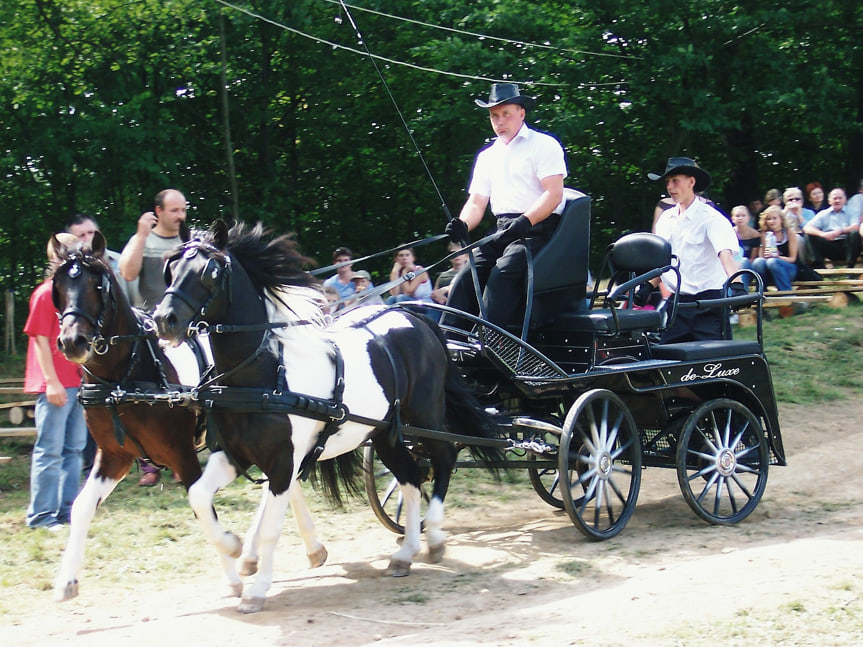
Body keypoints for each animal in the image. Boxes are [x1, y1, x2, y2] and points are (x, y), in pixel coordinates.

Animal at [49, 234, 328, 608]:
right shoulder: (113, 456)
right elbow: (81, 507)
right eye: (58, 287)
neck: (128, 375)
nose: (71, 342)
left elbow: (202, 507)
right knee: (285, 480)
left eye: (98, 285)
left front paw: (232, 565)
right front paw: (66, 580)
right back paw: (297, 550)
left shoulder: (182, 454)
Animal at [154, 221, 506, 612]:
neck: (266, 375)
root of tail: (416, 318)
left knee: (444, 458)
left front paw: (257, 588)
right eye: (171, 268)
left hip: (426, 418)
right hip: (386, 434)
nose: (164, 320)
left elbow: (272, 528)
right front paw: (233, 547)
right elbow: (199, 497)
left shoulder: (284, 462)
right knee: (412, 478)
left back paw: (435, 537)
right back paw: (406, 553)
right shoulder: (233, 454)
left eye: (210, 273)